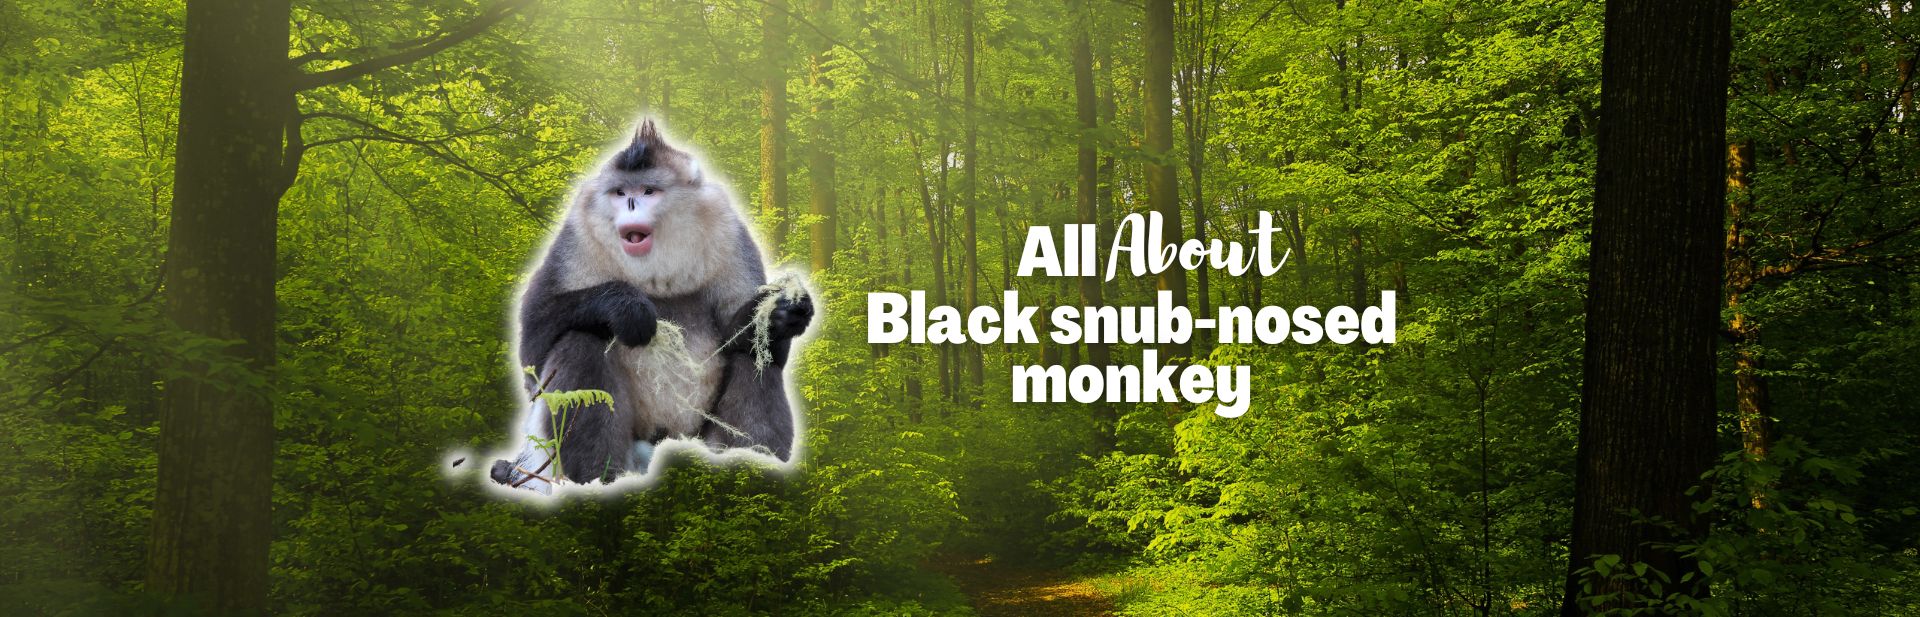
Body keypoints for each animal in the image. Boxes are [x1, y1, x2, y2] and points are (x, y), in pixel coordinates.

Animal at [488, 119, 812, 492]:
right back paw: (595, 481)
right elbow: (532, 352)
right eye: (619, 193)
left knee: (754, 357)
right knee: (580, 340)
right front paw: (624, 308)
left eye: (647, 191)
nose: (630, 203)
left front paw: (782, 313)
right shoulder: (576, 238)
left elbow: (741, 336)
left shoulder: (729, 233)